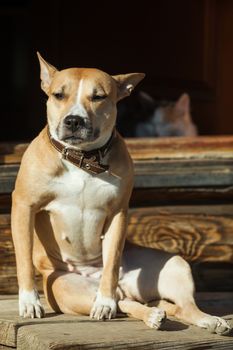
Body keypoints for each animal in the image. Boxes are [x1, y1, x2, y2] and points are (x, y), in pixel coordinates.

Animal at [10, 54, 229, 334]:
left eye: (98, 97)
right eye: (59, 95)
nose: (74, 120)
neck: (84, 159)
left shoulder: (117, 213)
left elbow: (112, 261)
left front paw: (105, 298)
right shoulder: (24, 206)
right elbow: (24, 258)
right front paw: (29, 302)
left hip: (175, 266)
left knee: (174, 304)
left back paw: (205, 319)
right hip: (69, 287)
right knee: (126, 303)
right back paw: (150, 315)